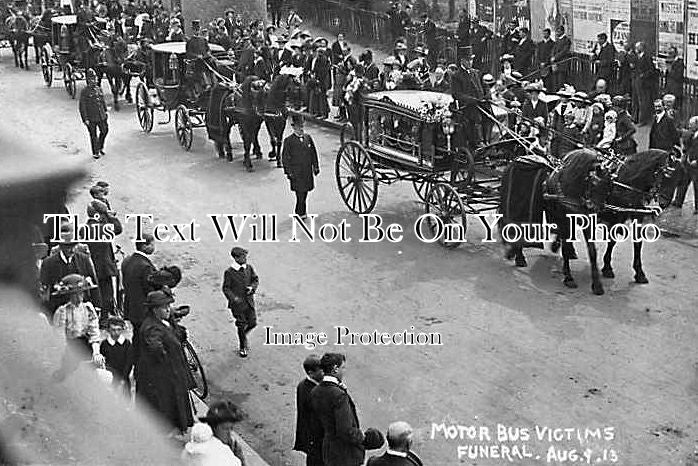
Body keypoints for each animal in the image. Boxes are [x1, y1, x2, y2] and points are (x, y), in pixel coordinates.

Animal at [336, 90, 680, 294]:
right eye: (663, 175)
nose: (659, 205)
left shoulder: (621, 215)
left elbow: (626, 244)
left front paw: (628, 272)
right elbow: (598, 248)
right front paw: (592, 277)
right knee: (364, 169)